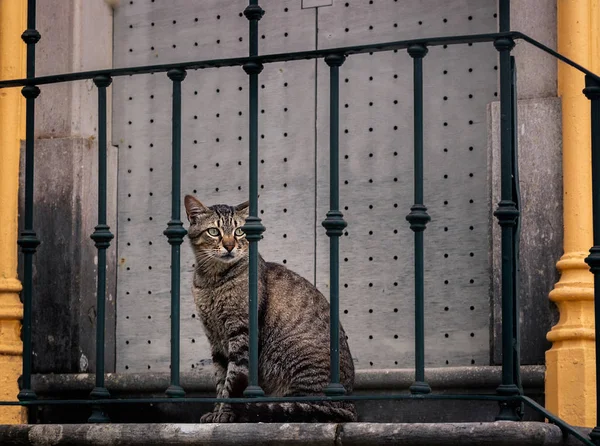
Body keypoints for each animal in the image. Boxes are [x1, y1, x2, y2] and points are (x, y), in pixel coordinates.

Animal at [185, 194, 356, 422]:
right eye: (214, 231)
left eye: (239, 231)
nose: (230, 246)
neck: (212, 281)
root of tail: (350, 406)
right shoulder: (215, 340)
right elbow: (221, 381)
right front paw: (216, 413)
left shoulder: (241, 334)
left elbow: (232, 379)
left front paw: (225, 414)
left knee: (302, 409)